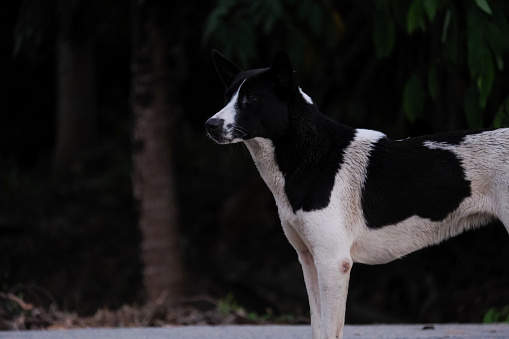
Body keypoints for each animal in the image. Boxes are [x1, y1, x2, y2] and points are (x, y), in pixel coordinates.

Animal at [204, 50, 506, 339]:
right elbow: (317, 328)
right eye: (227, 97)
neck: (310, 155)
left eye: (251, 98)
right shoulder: (309, 260)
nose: (210, 124)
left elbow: (330, 330)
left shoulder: (333, 263)